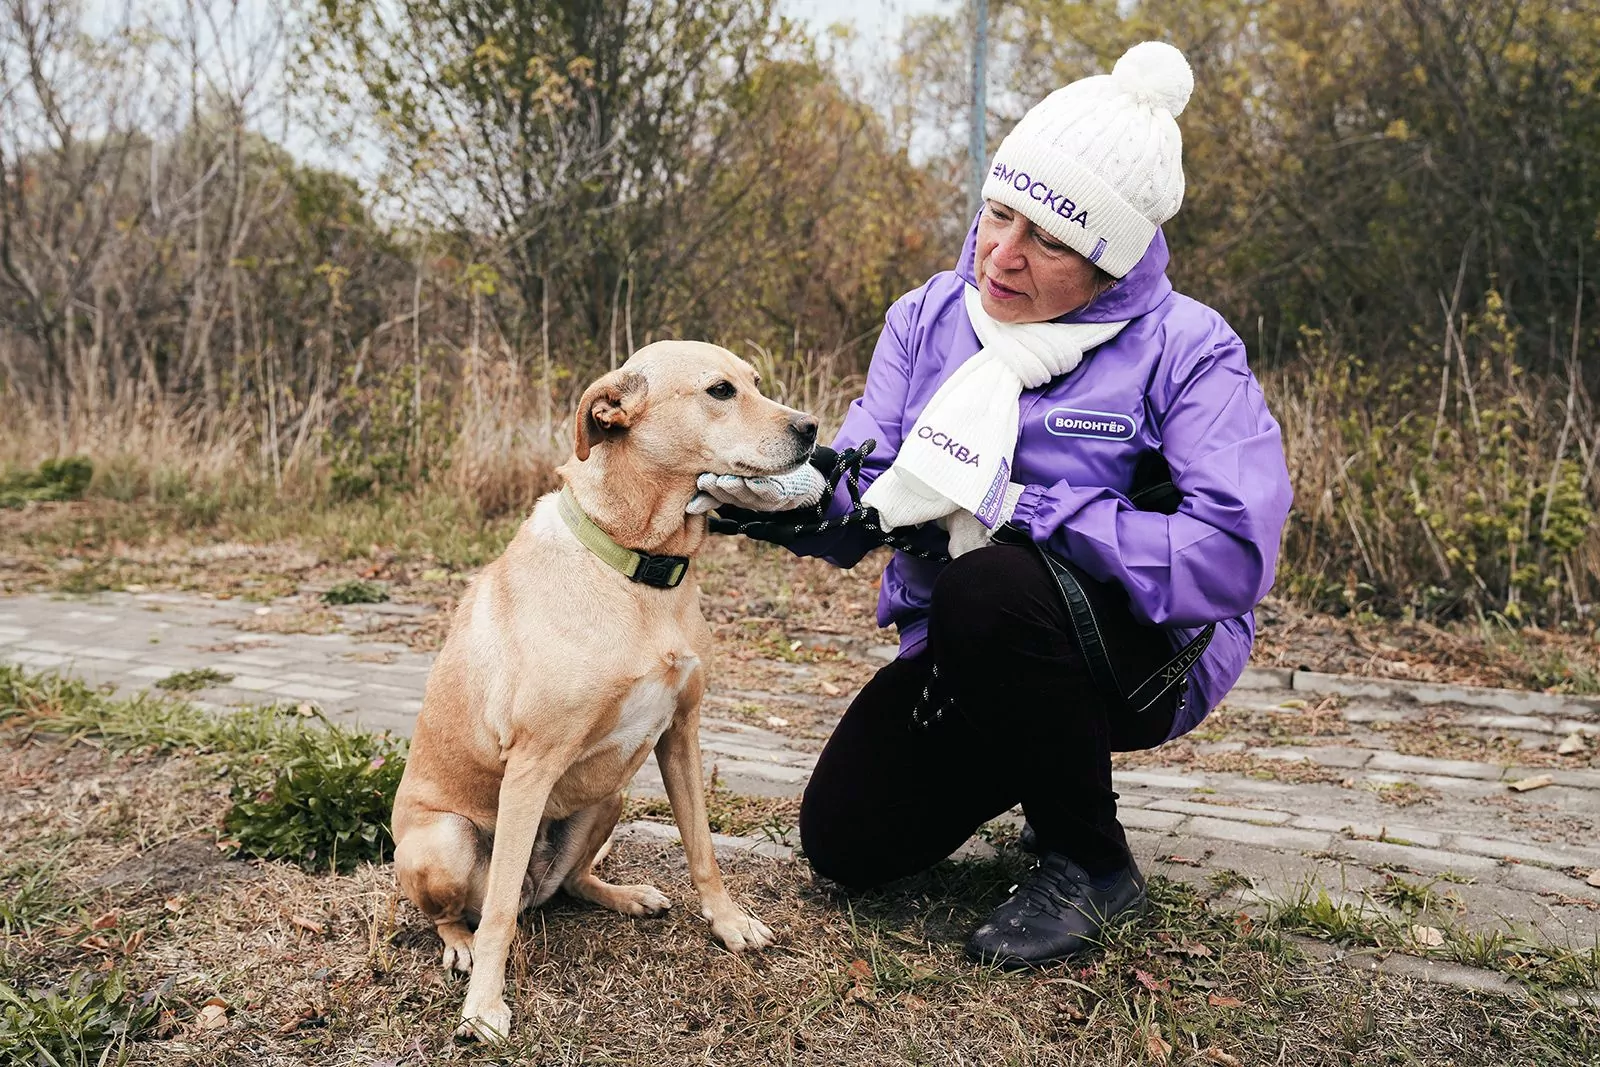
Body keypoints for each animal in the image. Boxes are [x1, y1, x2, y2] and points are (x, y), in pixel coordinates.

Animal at [387, 343, 812, 1043]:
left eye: (757, 382)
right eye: (720, 391)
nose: (811, 430)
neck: (638, 568)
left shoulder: (681, 732)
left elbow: (702, 849)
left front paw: (727, 923)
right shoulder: (530, 766)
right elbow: (497, 915)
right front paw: (484, 1006)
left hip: (608, 796)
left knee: (568, 884)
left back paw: (622, 895)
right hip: (445, 840)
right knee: (468, 910)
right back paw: (461, 945)